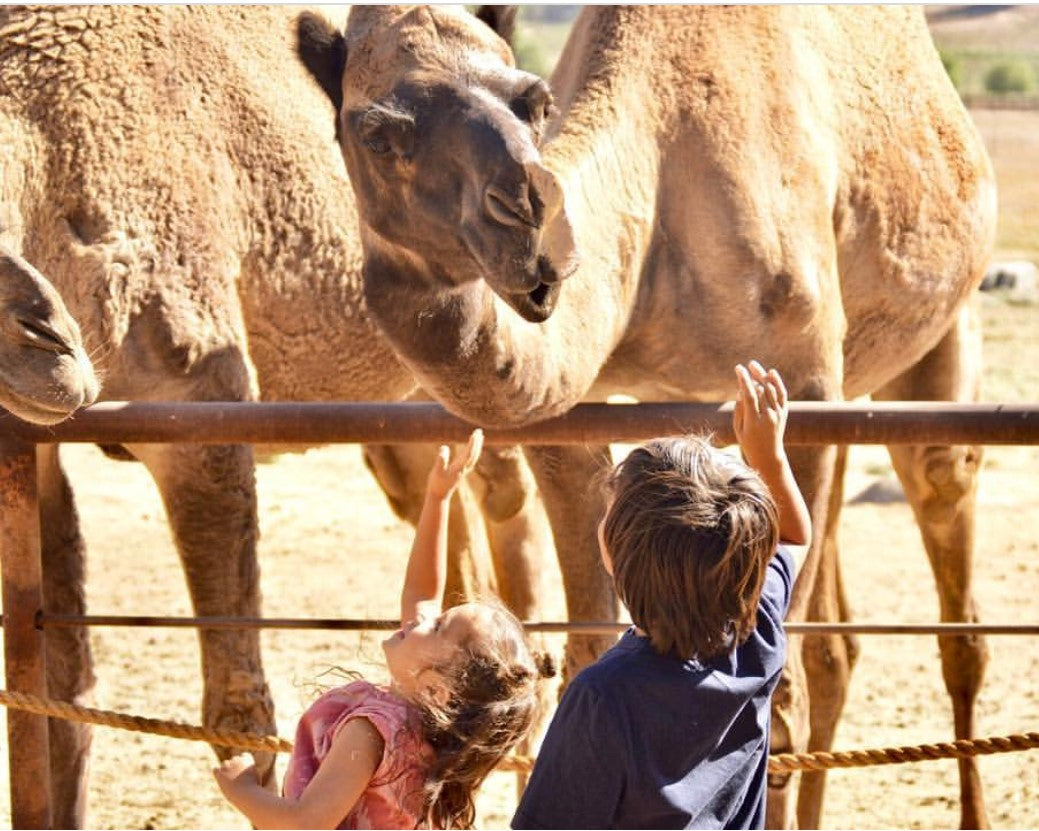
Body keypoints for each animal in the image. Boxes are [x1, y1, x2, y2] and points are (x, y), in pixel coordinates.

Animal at [297, 5, 997, 828]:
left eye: (533, 100)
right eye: (377, 134)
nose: (531, 215)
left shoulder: (806, 380)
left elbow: (781, 688)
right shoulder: (572, 420)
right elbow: (585, 644)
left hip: (943, 320)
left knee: (946, 539)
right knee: (837, 642)